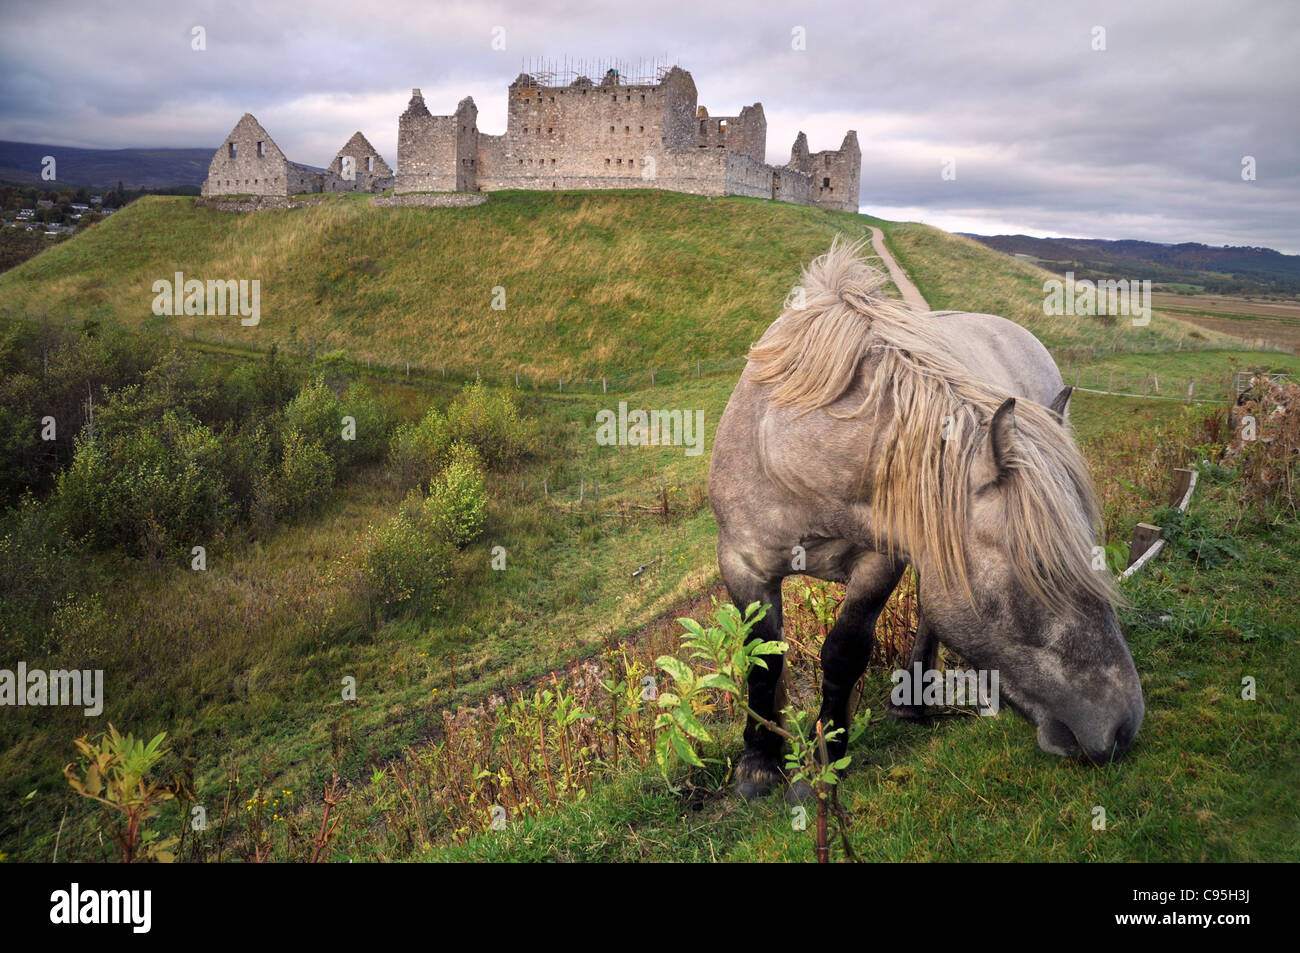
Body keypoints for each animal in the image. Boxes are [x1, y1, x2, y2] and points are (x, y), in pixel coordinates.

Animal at [712, 237, 1149, 795]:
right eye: (1042, 571)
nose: (1124, 725)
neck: (791, 452)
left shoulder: (881, 560)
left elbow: (844, 652)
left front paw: (831, 752)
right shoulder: (742, 562)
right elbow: (763, 661)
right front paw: (759, 761)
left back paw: (912, 700)